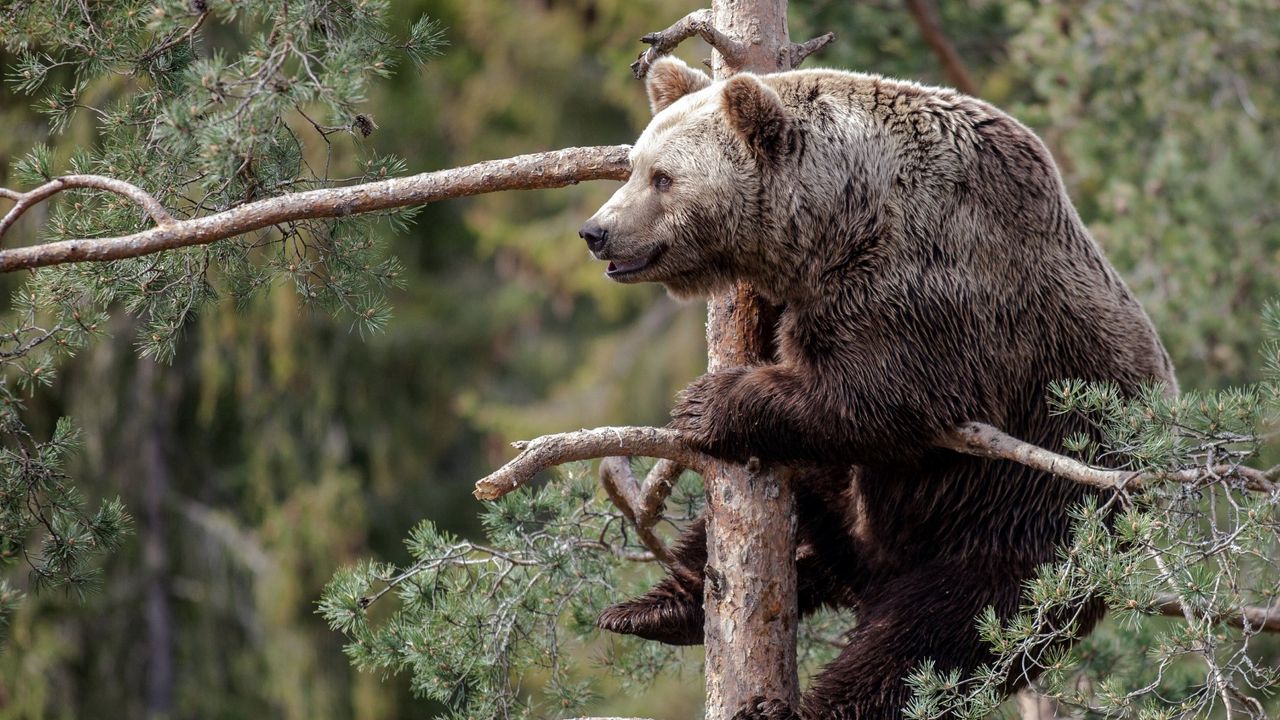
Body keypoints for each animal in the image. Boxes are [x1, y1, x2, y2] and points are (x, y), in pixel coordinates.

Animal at [578, 57, 1172, 717]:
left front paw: (706, 403)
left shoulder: (928, 285)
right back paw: (654, 608)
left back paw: (797, 702)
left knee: (931, 639)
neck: (839, 220)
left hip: (1033, 519)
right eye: (635, 164)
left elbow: (885, 396)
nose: (596, 231)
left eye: (663, 178)